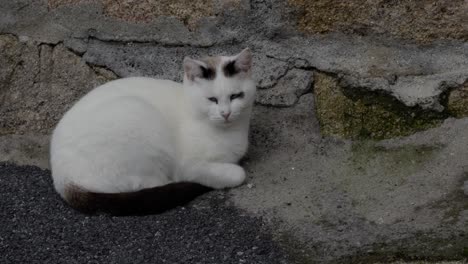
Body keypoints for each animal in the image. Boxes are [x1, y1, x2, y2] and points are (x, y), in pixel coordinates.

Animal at [50, 49, 256, 214]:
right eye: (212, 99)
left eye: (236, 96)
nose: (226, 113)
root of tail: (64, 180)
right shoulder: (189, 167)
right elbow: (238, 173)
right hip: (138, 114)